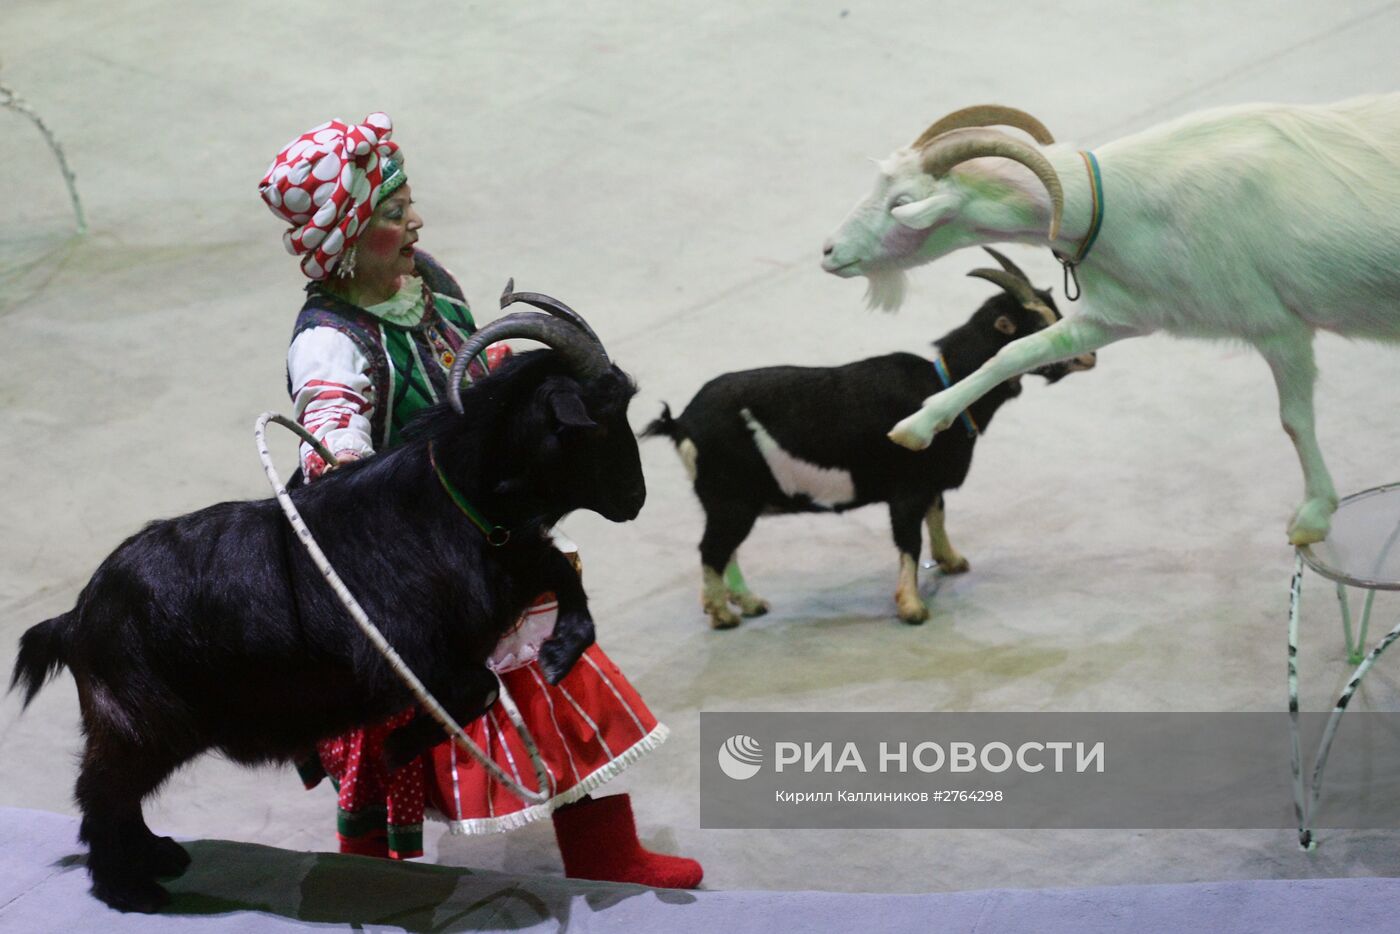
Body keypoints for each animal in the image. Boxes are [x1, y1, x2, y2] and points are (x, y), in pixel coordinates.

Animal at [5, 289, 638, 912]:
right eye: (599, 421)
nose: (635, 498)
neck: (447, 498)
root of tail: (76, 617)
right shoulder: (414, 660)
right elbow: (477, 688)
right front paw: (399, 747)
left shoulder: (509, 564)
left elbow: (559, 580)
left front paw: (559, 654)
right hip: (139, 722)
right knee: (101, 791)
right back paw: (128, 887)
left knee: (116, 794)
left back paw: (158, 858)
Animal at [644, 247, 1092, 627]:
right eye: (1040, 326)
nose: (1089, 355)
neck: (945, 383)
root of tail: (682, 422)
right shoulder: (907, 489)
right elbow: (909, 541)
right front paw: (912, 607)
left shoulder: (930, 482)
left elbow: (938, 515)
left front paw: (952, 561)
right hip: (731, 499)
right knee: (712, 550)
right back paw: (723, 614)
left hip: (731, 501)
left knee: (724, 550)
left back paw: (747, 603)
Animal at [817, 95, 1400, 543]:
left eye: (901, 202)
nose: (827, 251)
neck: (1125, 202)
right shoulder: (1120, 316)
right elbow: (1016, 352)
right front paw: (919, 425)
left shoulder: (1278, 327)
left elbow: (1294, 420)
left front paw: (1314, 515)